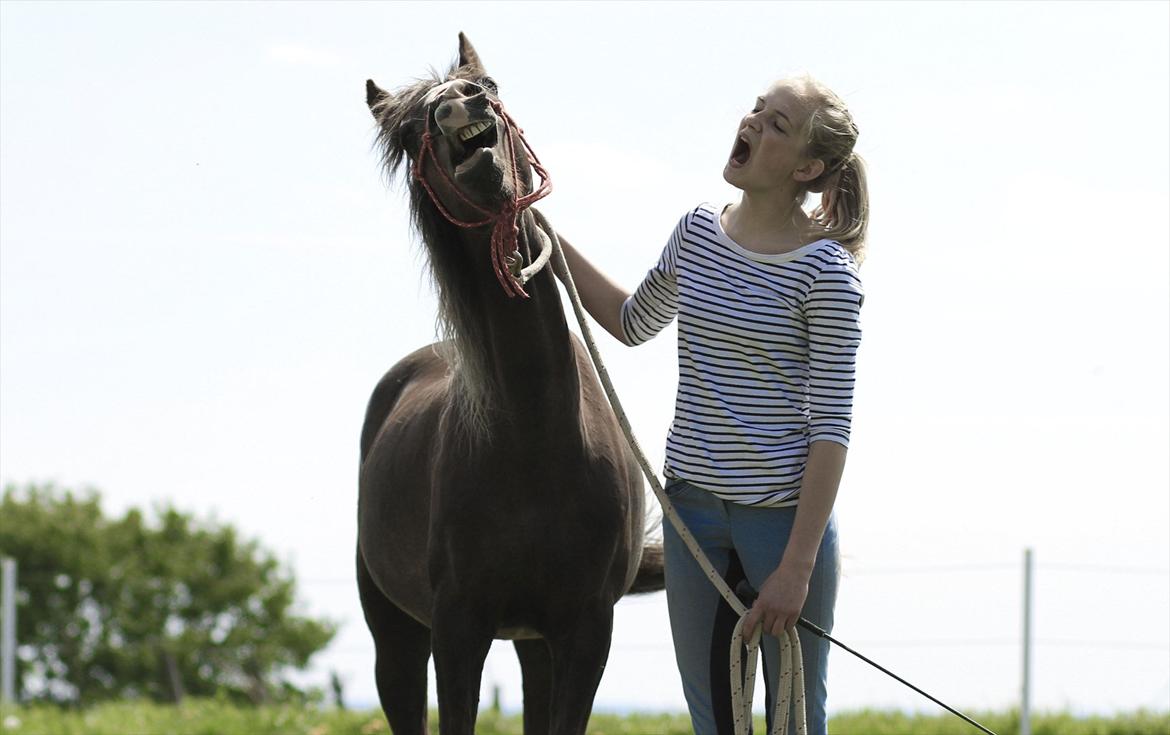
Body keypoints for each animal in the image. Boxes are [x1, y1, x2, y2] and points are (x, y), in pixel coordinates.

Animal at [357, 34, 665, 735]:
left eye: (492, 85)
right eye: (410, 131)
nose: (458, 104)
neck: (537, 435)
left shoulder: (585, 632)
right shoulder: (457, 630)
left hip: (533, 644)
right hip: (397, 636)